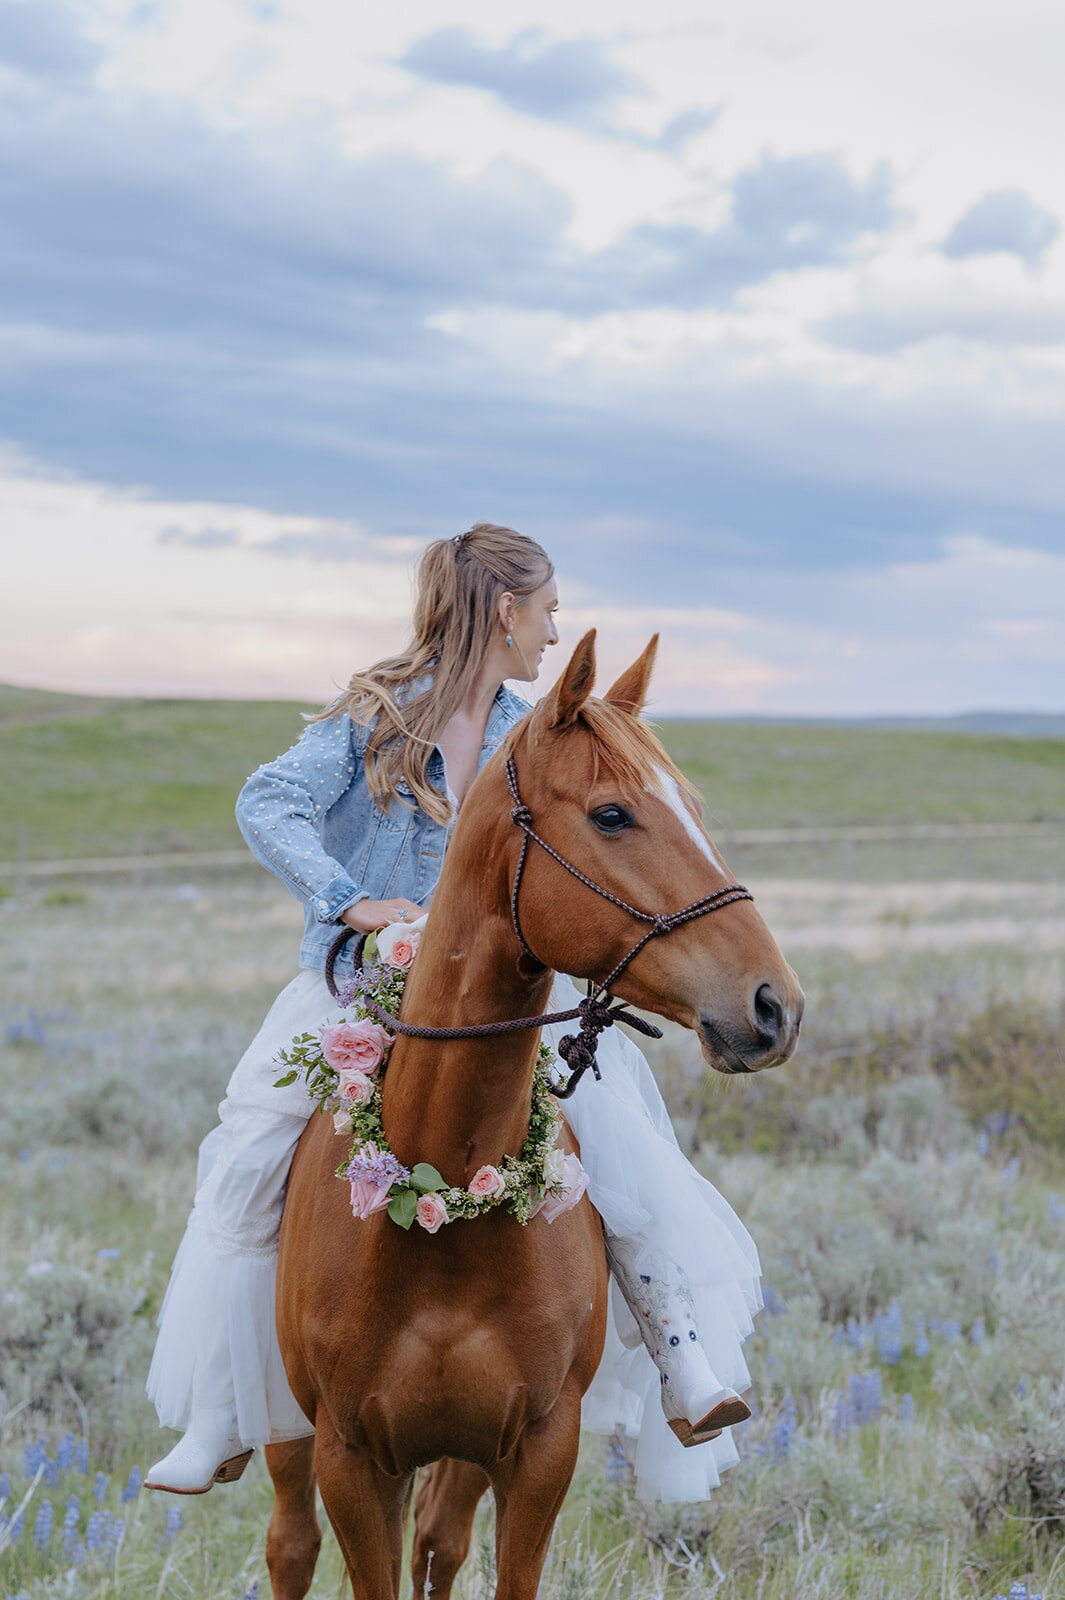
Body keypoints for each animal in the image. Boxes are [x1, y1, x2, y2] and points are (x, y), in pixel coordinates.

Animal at [263, 630, 796, 1600]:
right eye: (612, 815)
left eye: (693, 808)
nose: (774, 1004)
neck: (439, 1191)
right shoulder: (351, 1458)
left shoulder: (537, 1449)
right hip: (290, 1436)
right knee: (290, 1546)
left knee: (438, 1541)